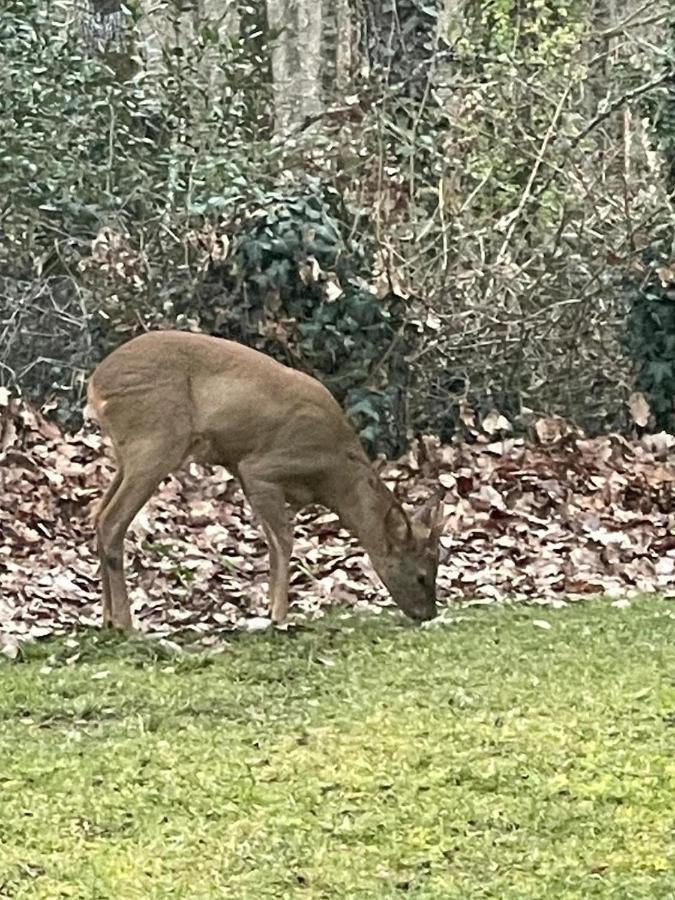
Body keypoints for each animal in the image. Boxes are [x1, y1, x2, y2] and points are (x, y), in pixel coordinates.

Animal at [86, 326, 444, 628]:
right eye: (421, 575)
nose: (428, 613)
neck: (334, 474)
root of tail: (95, 384)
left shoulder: (250, 475)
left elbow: (272, 543)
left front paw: (270, 608)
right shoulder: (261, 467)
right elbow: (284, 541)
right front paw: (279, 616)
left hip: (129, 453)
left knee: (99, 514)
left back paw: (107, 620)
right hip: (155, 441)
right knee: (112, 520)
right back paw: (127, 624)